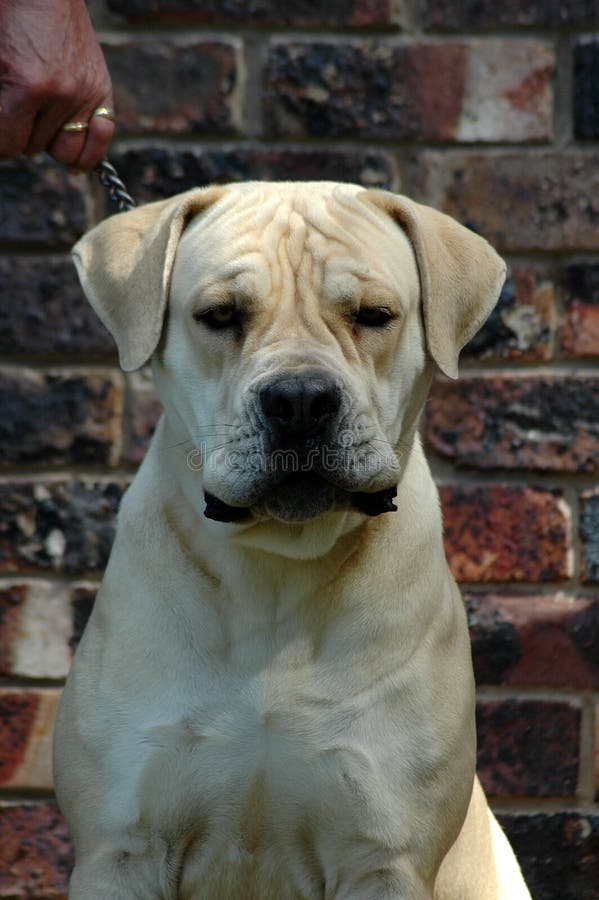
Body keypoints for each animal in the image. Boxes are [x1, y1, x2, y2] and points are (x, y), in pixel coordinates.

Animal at [54, 183, 532, 900]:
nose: (301, 397)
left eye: (375, 315)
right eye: (219, 315)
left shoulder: (382, 855)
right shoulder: (122, 849)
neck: (278, 565)